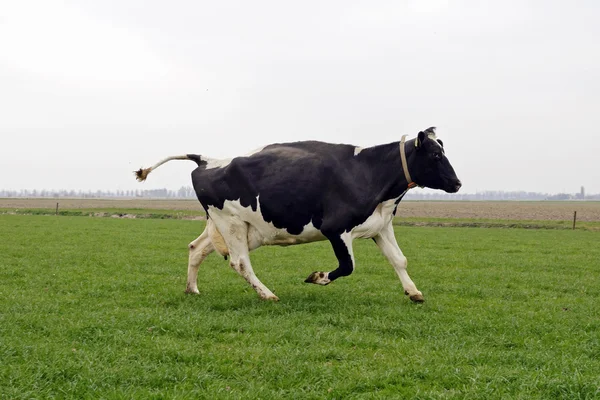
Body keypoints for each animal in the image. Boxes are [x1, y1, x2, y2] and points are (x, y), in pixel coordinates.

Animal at [136, 126, 462, 302]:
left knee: (197, 249)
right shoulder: (336, 228)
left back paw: (192, 289)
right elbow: (347, 266)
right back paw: (267, 294)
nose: (457, 183)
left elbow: (399, 260)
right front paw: (317, 277)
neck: (368, 172)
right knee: (239, 262)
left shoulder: (380, 225)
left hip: (230, 227)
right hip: (232, 224)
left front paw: (414, 292)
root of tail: (208, 159)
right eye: (436, 155)